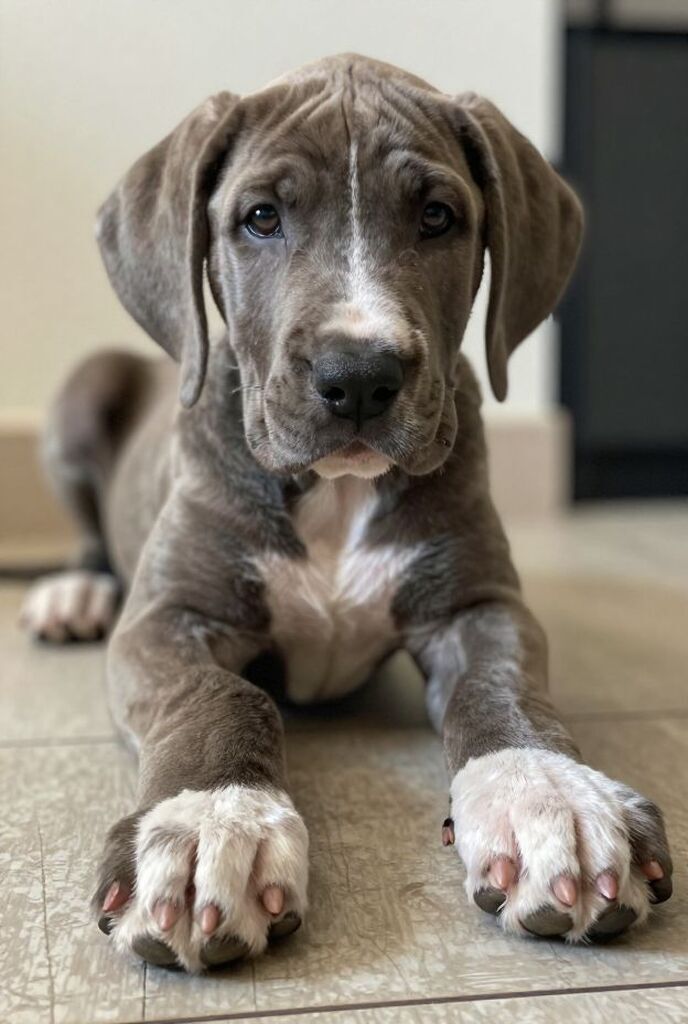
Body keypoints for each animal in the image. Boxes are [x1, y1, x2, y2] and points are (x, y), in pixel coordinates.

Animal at [20, 54, 672, 973]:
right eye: (260, 217)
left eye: (437, 217)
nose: (359, 375)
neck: (335, 490)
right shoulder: (168, 618)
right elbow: (221, 696)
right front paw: (210, 820)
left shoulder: (480, 606)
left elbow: (502, 685)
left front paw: (553, 799)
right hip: (84, 391)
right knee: (88, 536)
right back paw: (73, 594)